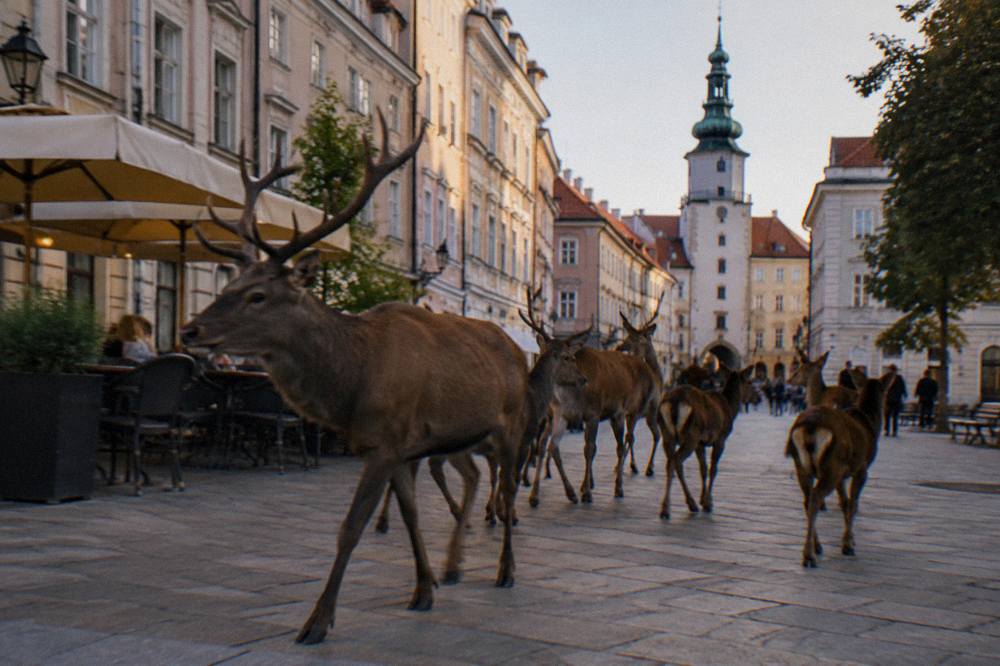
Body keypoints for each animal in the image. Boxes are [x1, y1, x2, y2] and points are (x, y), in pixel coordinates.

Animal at [181, 113, 531, 645]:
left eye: (259, 296)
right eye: (230, 284)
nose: (191, 329)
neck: (353, 382)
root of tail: (517, 350)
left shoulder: (385, 442)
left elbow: (350, 527)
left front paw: (316, 622)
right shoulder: (400, 449)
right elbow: (408, 515)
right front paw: (424, 589)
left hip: (512, 426)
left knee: (508, 492)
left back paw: (506, 570)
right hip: (463, 439)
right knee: (481, 484)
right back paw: (457, 565)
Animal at [658, 364, 754, 519]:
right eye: (750, 382)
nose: (755, 397)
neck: (730, 408)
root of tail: (674, 402)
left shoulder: (700, 443)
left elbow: (703, 468)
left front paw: (703, 499)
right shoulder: (721, 439)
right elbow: (713, 469)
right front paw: (708, 503)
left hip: (667, 434)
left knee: (671, 463)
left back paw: (677, 506)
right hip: (691, 434)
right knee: (676, 461)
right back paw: (674, 508)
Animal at [786, 367, 889, 567]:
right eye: (884, 391)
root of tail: (809, 426)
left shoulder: (843, 474)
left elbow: (844, 502)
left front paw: (850, 540)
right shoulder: (861, 468)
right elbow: (853, 503)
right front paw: (848, 545)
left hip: (801, 464)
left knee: (807, 499)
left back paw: (817, 547)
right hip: (832, 463)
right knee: (816, 496)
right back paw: (809, 555)